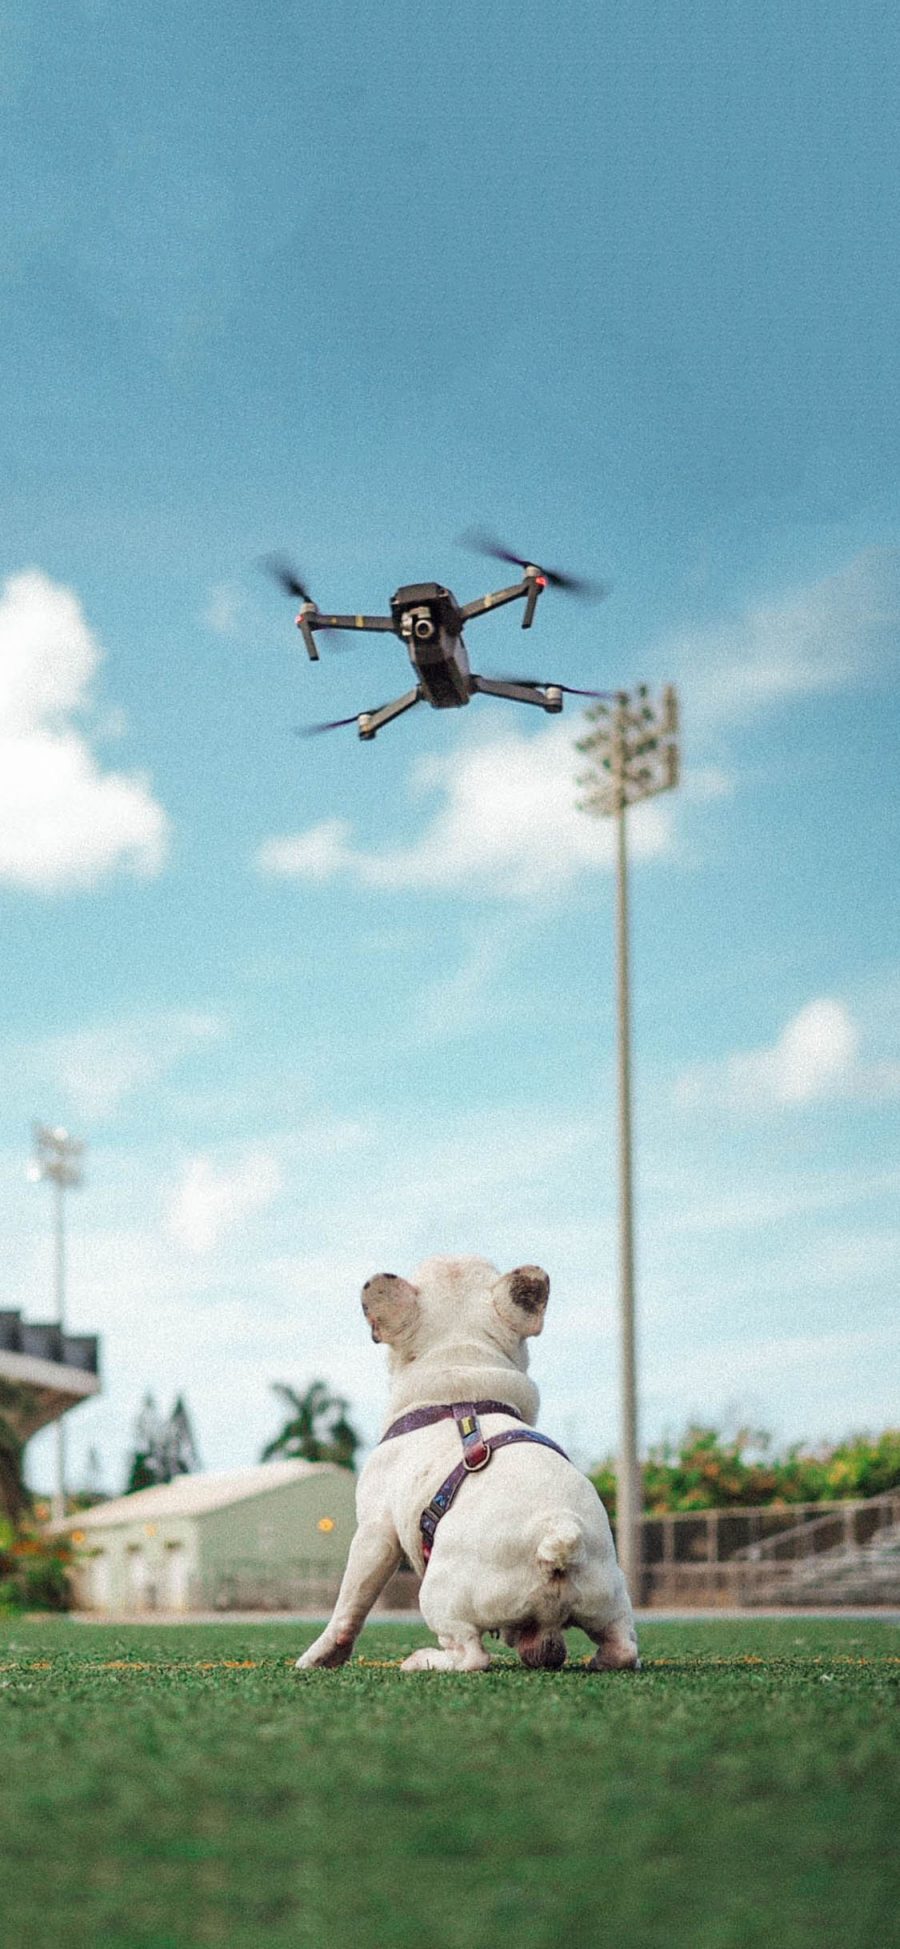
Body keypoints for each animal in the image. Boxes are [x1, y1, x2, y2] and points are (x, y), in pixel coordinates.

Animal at [296, 1262, 638, 1676]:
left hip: (439, 1596)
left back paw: (422, 1660)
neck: (461, 1380)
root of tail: (557, 1534)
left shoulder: (375, 1532)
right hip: (609, 1596)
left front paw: (318, 1657)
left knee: (470, 1655)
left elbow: (350, 1603)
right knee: (622, 1647)